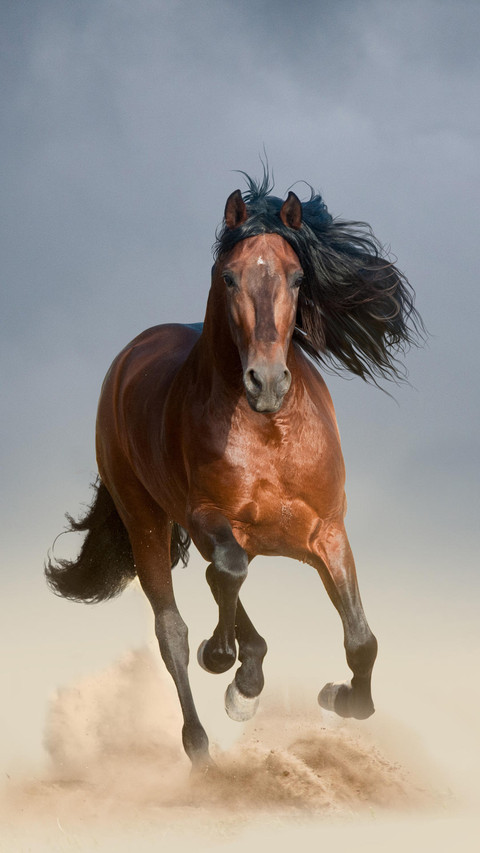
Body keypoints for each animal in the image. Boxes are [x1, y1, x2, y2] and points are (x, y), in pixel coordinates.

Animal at [46, 171, 423, 770]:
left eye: (297, 276)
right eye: (229, 277)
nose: (265, 381)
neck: (269, 434)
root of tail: (130, 355)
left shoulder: (328, 532)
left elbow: (362, 641)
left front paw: (337, 696)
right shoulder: (207, 516)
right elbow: (225, 575)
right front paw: (225, 663)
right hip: (146, 520)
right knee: (174, 626)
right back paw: (204, 741)